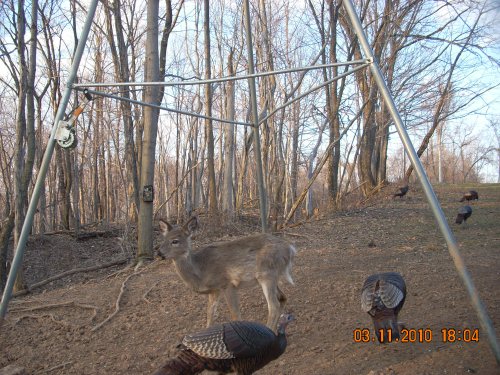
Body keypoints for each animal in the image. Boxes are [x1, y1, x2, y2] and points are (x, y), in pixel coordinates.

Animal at [158, 216, 294, 330]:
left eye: (175, 241)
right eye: (163, 240)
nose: (159, 253)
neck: (201, 270)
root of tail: (290, 248)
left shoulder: (227, 283)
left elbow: (235, 315)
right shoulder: (214, 290)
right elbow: (210, 315)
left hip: (266, 273)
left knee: (274, 306)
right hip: (272, 275)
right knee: (283, 298)